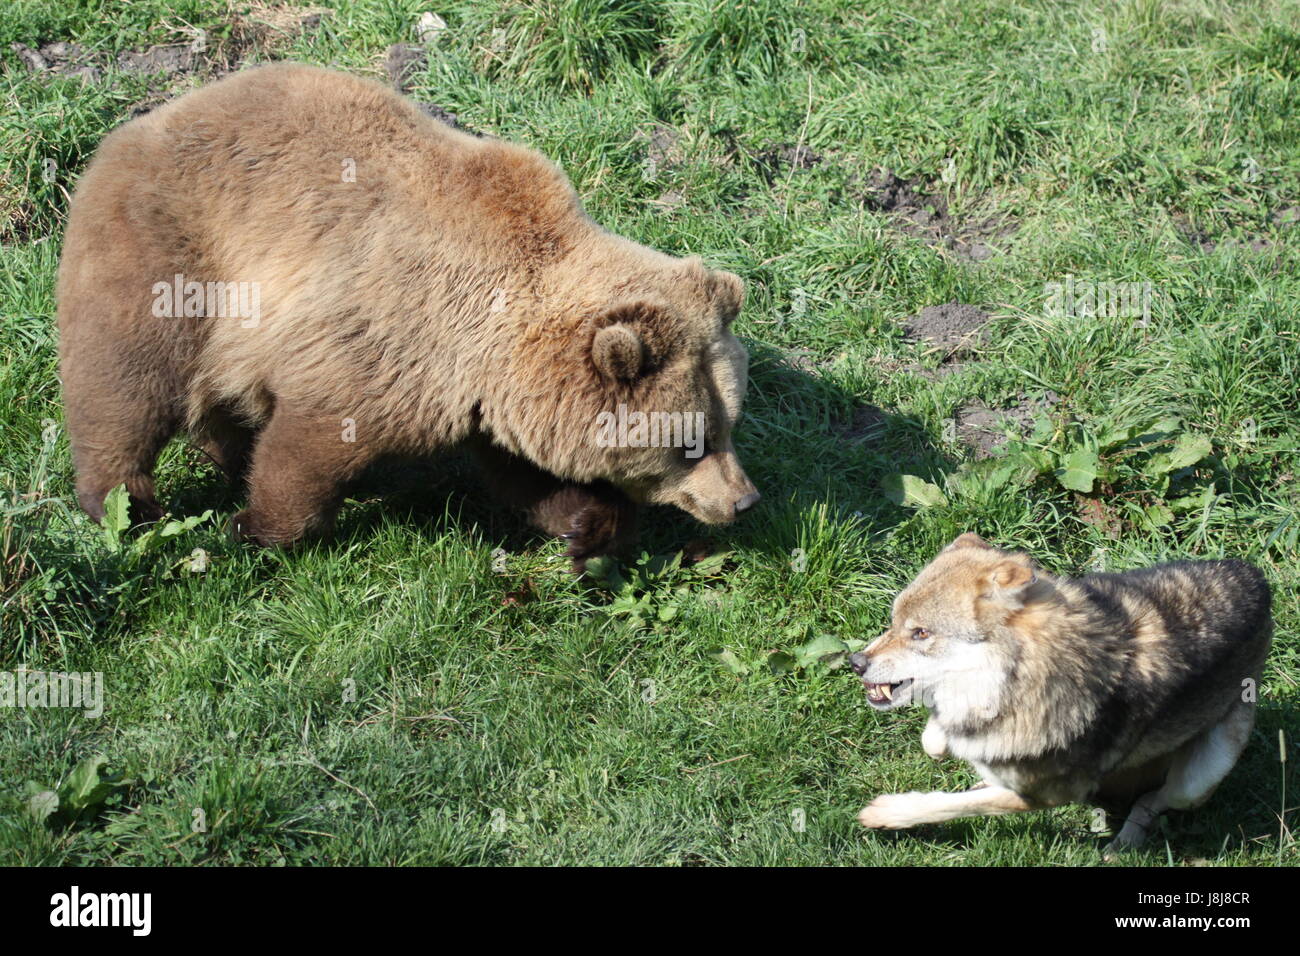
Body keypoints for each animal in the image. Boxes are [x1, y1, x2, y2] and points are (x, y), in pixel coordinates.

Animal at [55, 63, 759, 564]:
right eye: (690, 441)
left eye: (728, 421)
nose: (744, 500)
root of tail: (139, 124)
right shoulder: (387, 336)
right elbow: (313, 443)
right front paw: (255, 528)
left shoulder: (491, 389)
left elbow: (526, 471)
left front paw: (590, 528)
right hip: (168, 252)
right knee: (125, 383)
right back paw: (126, 504)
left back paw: (226, 454)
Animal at [847, 535, 1274, 858]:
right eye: (894, 622)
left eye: (921, 633)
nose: (855, 662)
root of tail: (1261, 581)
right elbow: (937, 739)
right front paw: (949, 739)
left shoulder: (1047, 796)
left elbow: (952, 805)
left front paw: (886, 813)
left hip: (1199, 778)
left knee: (1151, 801)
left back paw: (1122, 845)